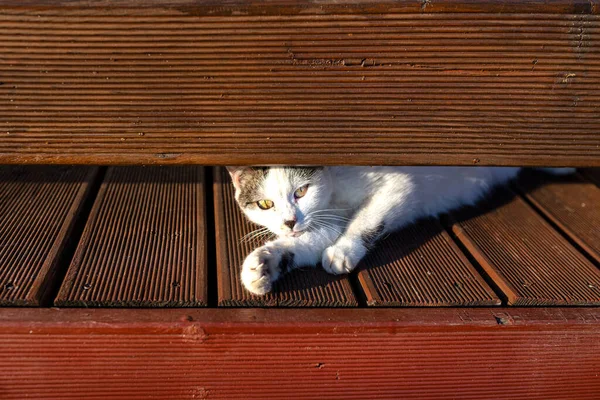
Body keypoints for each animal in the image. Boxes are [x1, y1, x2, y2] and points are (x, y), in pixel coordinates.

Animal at [227, 166, 576, 294]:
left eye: (301, 191)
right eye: (265, 204)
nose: (289, 222)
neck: (334, 190)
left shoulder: (397, 185)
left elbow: (366, 220)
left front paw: (343, 250)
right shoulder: (325, 219)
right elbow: (307, 242)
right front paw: (263, 265)